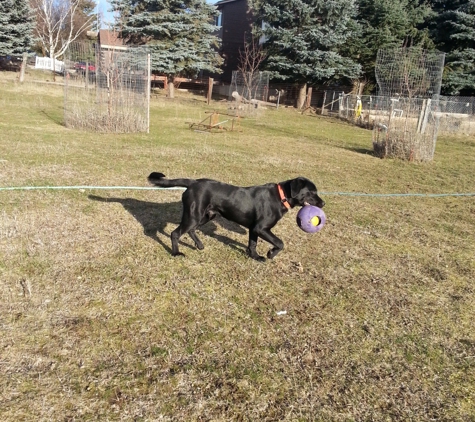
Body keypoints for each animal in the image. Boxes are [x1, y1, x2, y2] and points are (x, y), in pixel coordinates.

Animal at [149, 172, 326, 260]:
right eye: (312, 192)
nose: (323, 203)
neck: (281, 196)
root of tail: (193, 182)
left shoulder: (254, 229)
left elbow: (252, 244)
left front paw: (255, 257)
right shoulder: (261, 228)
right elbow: (280, 243)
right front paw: (270, 254)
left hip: (206, 216)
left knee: (191, 230)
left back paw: (199, 245)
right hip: (193, 215)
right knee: (175, 233)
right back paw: (176, 253)